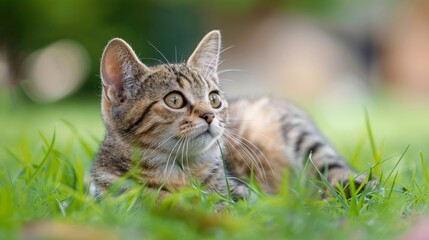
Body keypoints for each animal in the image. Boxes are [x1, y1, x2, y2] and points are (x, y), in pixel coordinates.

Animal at [90, 29, 368, 200]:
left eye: (214, 99)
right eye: (174, 100)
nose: (209, 115)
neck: (176, 172)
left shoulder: (245, 197)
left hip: (305, 139)